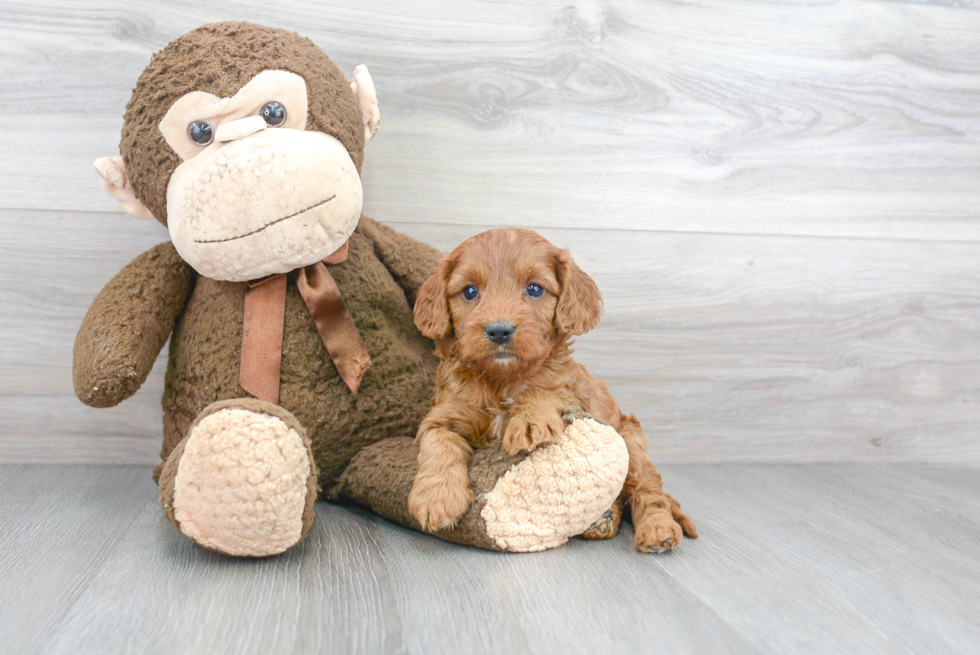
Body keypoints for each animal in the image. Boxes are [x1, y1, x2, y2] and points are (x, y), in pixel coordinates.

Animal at [406, 228, 696, 552]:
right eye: (469, 292)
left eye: (534, 289)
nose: (499, 330)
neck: (501, 380)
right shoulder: (445, 413)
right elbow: (438, 442)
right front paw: (436, 498)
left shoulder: (568, 392)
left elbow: (538, 390)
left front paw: (529, 422)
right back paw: (603, 520)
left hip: (631, 440)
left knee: (647, 488)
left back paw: (657, 529)